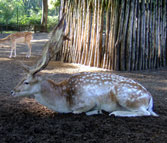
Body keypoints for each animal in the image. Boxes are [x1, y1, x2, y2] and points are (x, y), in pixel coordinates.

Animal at [10, 14, 158, 117]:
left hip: (125, 96)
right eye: (21, 79)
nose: (12, 91)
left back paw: (115, 113)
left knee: (145, 113)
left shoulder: (88, 101)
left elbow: (77, 111)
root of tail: (150, 98)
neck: (64, 100)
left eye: (26, 82)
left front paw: (97, 111)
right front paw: (97, 111)